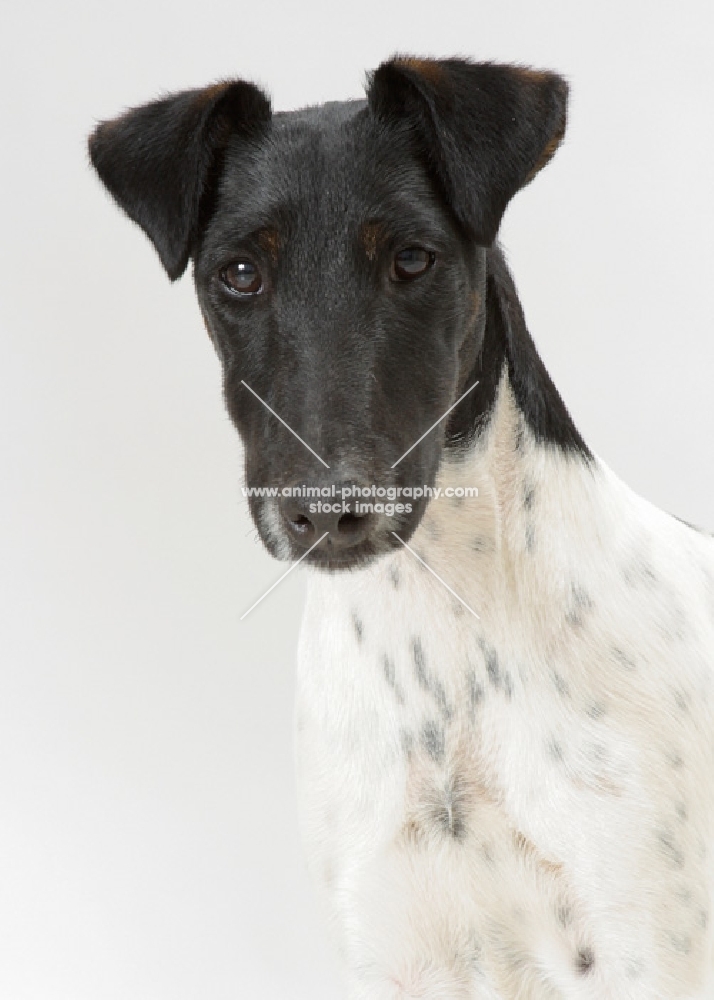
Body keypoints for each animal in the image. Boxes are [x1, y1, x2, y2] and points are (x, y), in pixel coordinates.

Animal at [90, 56, 712, 1000]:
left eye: (412, 259)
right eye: (239, 272)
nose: (329, 509)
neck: (447, 653)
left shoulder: (641, 948)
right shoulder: (390, 944)